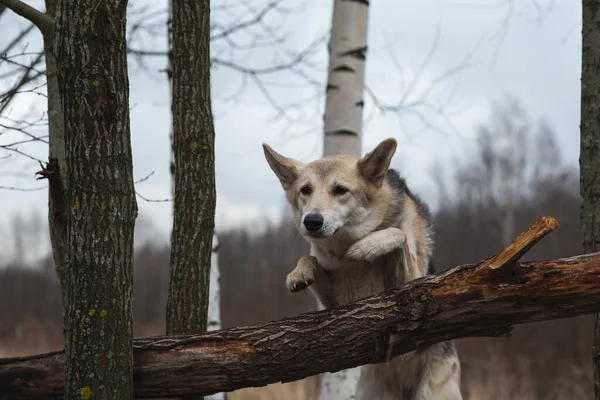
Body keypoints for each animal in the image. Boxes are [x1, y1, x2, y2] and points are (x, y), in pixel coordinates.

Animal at [262, 138, 464, 400]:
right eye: (305, 190)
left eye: (340, 190)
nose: (311, 221)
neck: (345, 243)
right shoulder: (338, 304)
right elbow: (310, 258)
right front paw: (299, 273)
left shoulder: (414, 292)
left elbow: (397, 233)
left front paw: (366, 247)